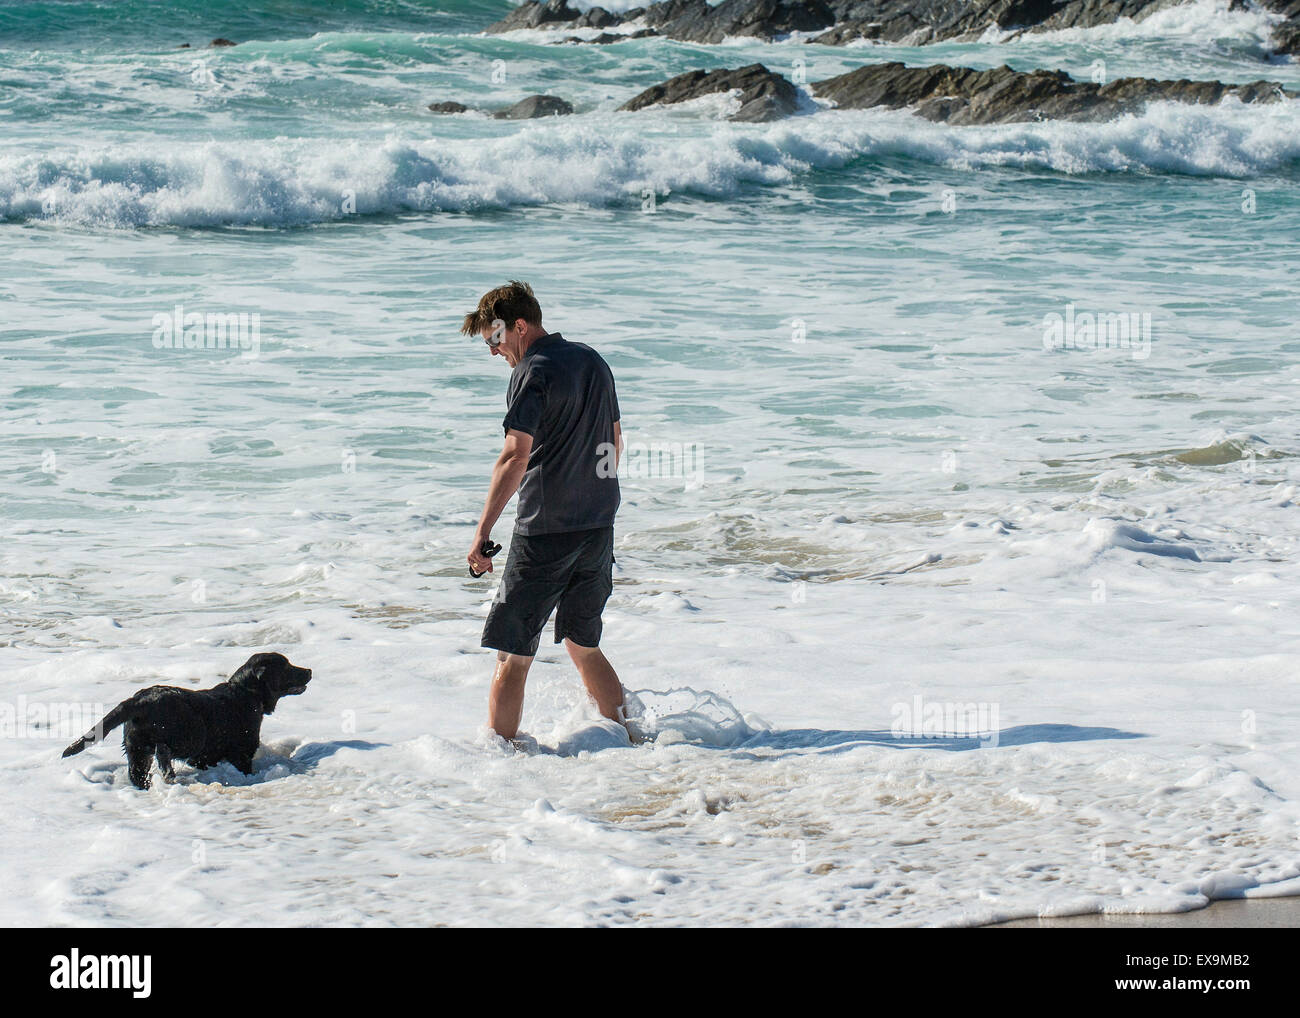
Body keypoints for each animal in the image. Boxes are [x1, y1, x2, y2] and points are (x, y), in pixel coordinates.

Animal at [64, 652, 314, 790]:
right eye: (287, 666)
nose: (310, 670)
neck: (245, 692)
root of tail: (140, 700)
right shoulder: (242, 753)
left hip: (137, 749)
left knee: (138, 773)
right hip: (192, 735)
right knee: (165, 752)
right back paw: (166, 766)